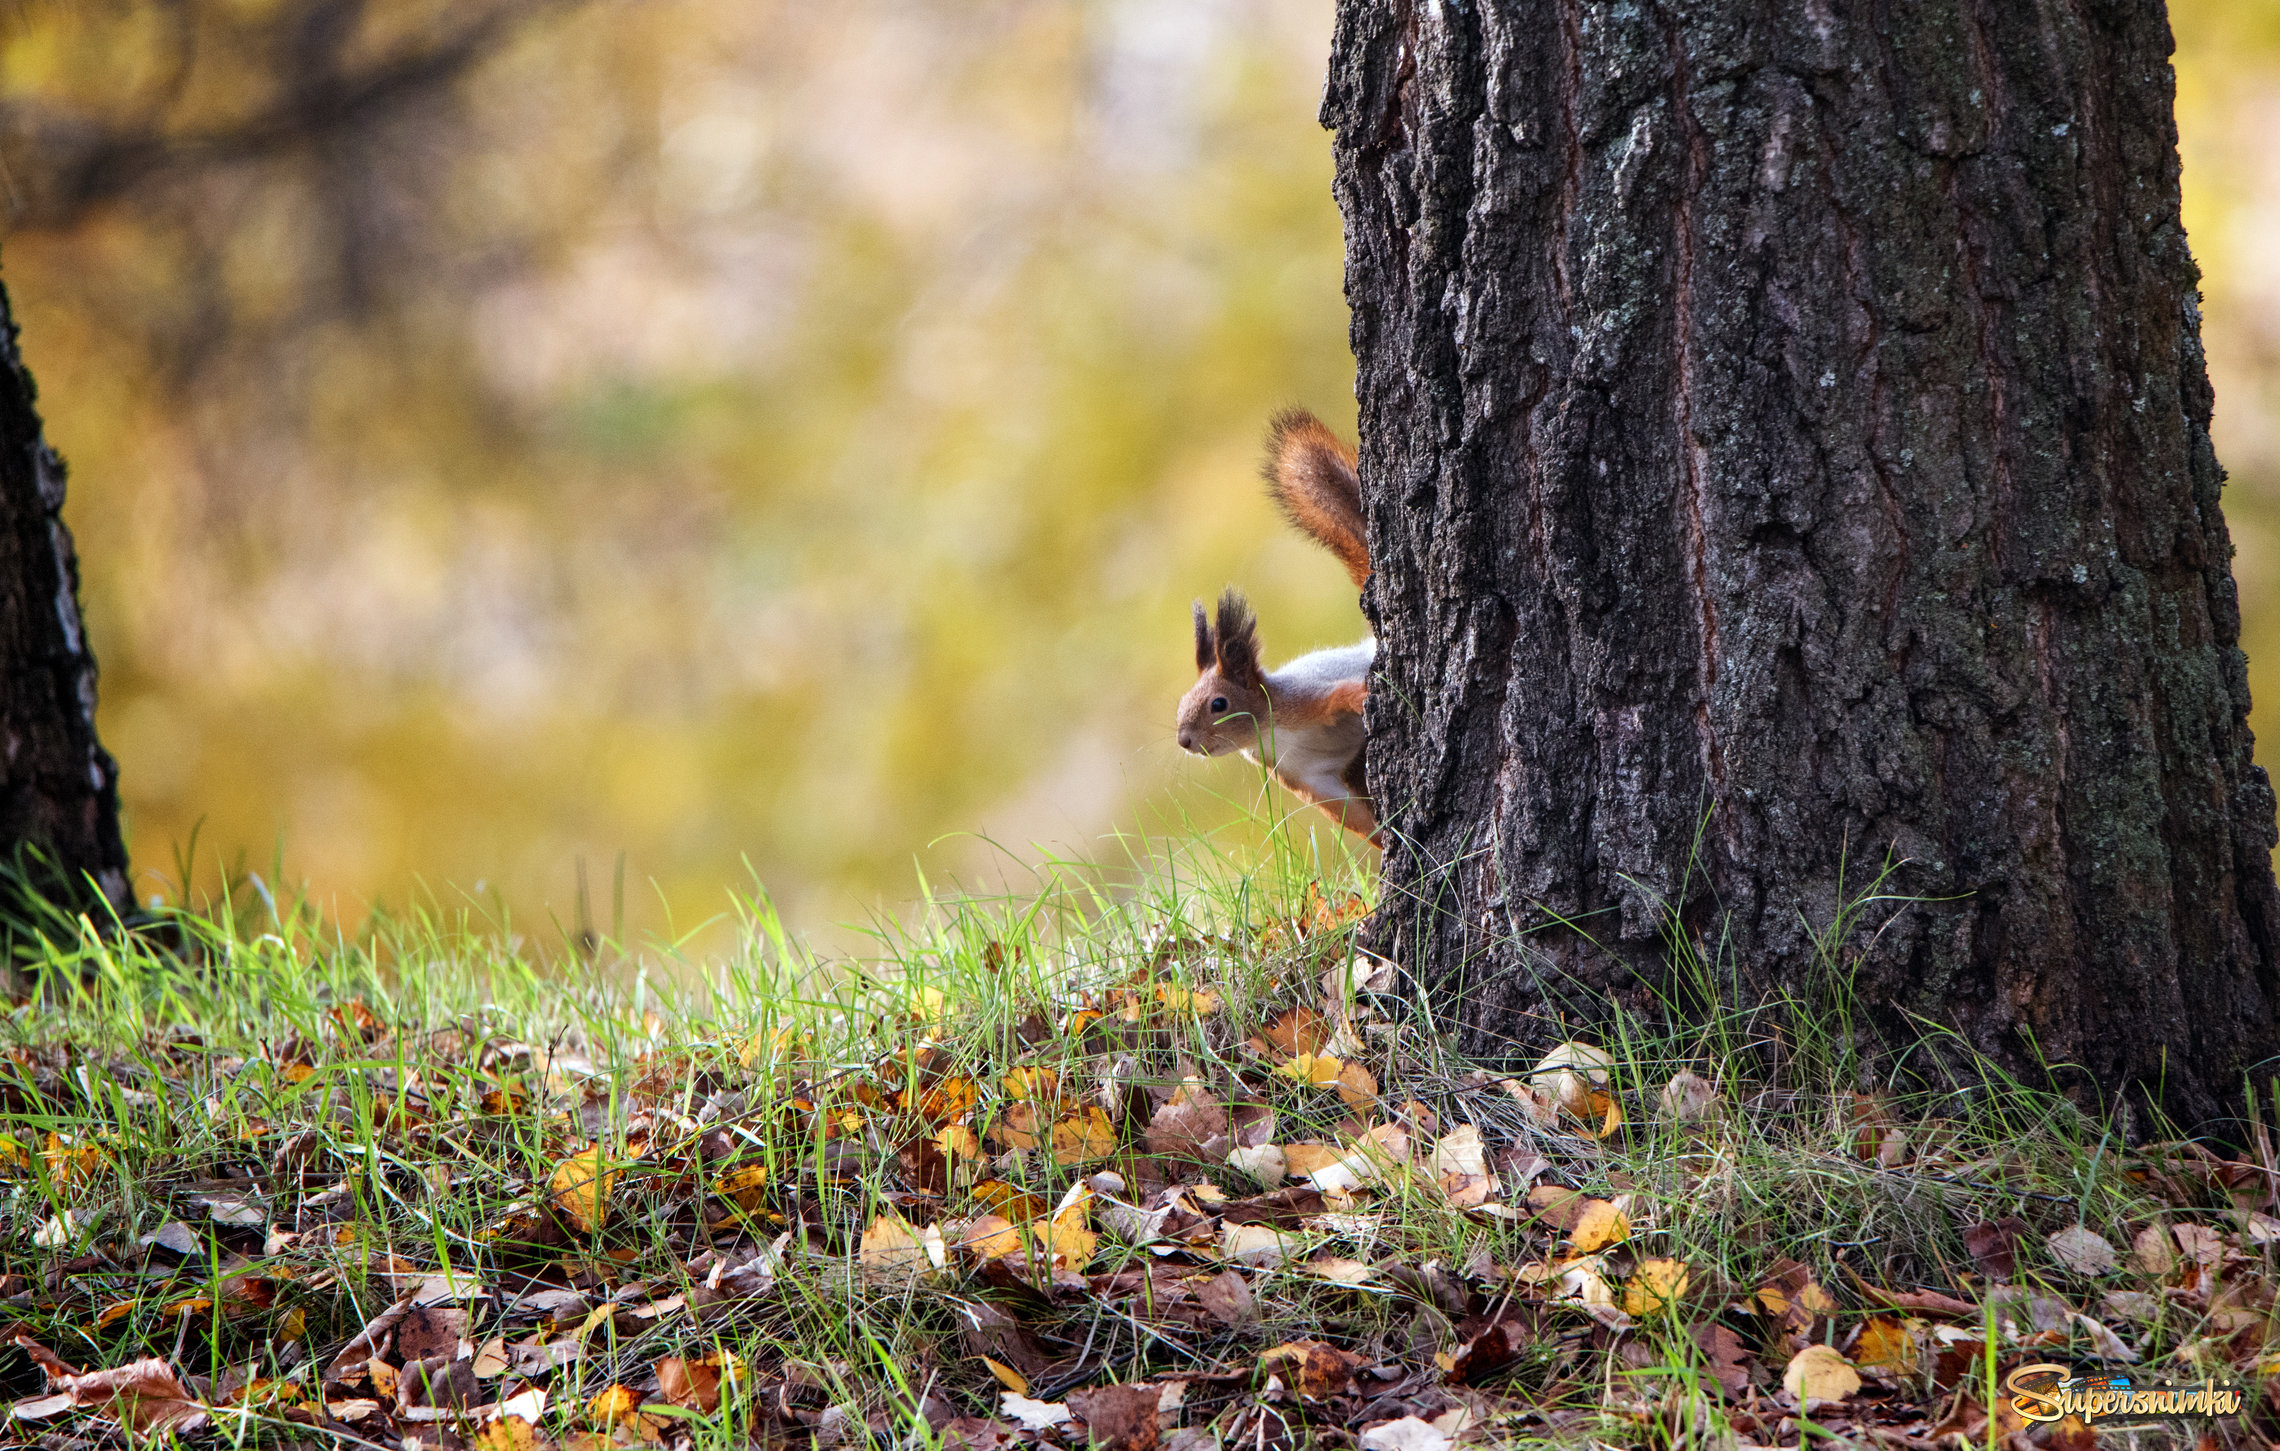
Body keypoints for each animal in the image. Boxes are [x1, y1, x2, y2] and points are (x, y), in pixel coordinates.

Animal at [1176, 408, 1368, 839]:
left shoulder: (1304, 701)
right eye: (1180, 704)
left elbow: (1341, 694)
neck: (1269, 733)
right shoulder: (1306, 777)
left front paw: (1364, 695)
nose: (1184, 740)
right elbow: (1349, 814)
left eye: (1219, 704)